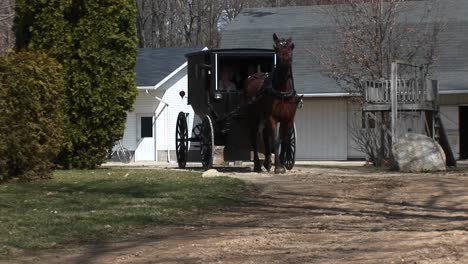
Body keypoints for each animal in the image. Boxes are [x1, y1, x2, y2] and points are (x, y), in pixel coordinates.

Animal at [247, 33, 302, 173]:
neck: (282, 91)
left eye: (291, 47)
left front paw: (281, 164)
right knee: (255, 137)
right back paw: (257, 165)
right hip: (254, 117)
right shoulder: (272, 118)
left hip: (264, 117)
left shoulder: (288, 119)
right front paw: (278, 167)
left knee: (265, 137)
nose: (285, 60)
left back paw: (267, 163)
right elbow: (276, 140)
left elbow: (285, 140)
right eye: (276, 48)